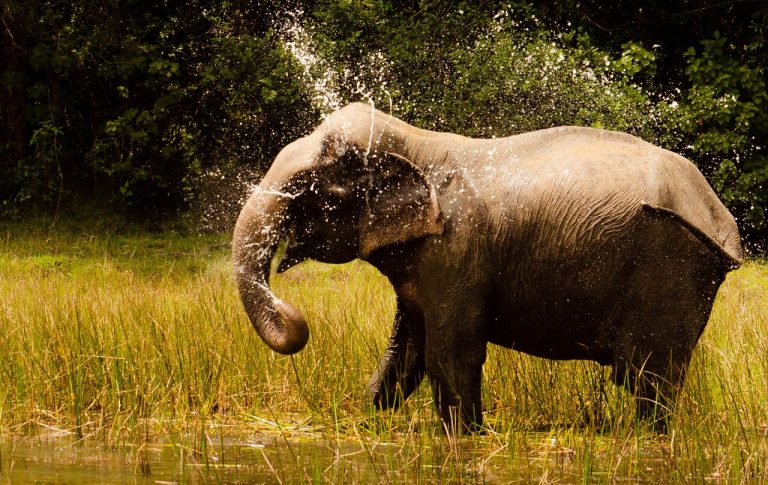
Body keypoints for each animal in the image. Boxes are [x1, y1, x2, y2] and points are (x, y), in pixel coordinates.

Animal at [234, 102, 744, 432]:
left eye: (321, 191)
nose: (295, 317)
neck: (417, 142)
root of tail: (721, 219)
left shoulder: (456, 250)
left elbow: (449, 354)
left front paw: (465, 438)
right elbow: (406, 353)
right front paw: (364, 420)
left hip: (671, 266)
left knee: (648, 378)